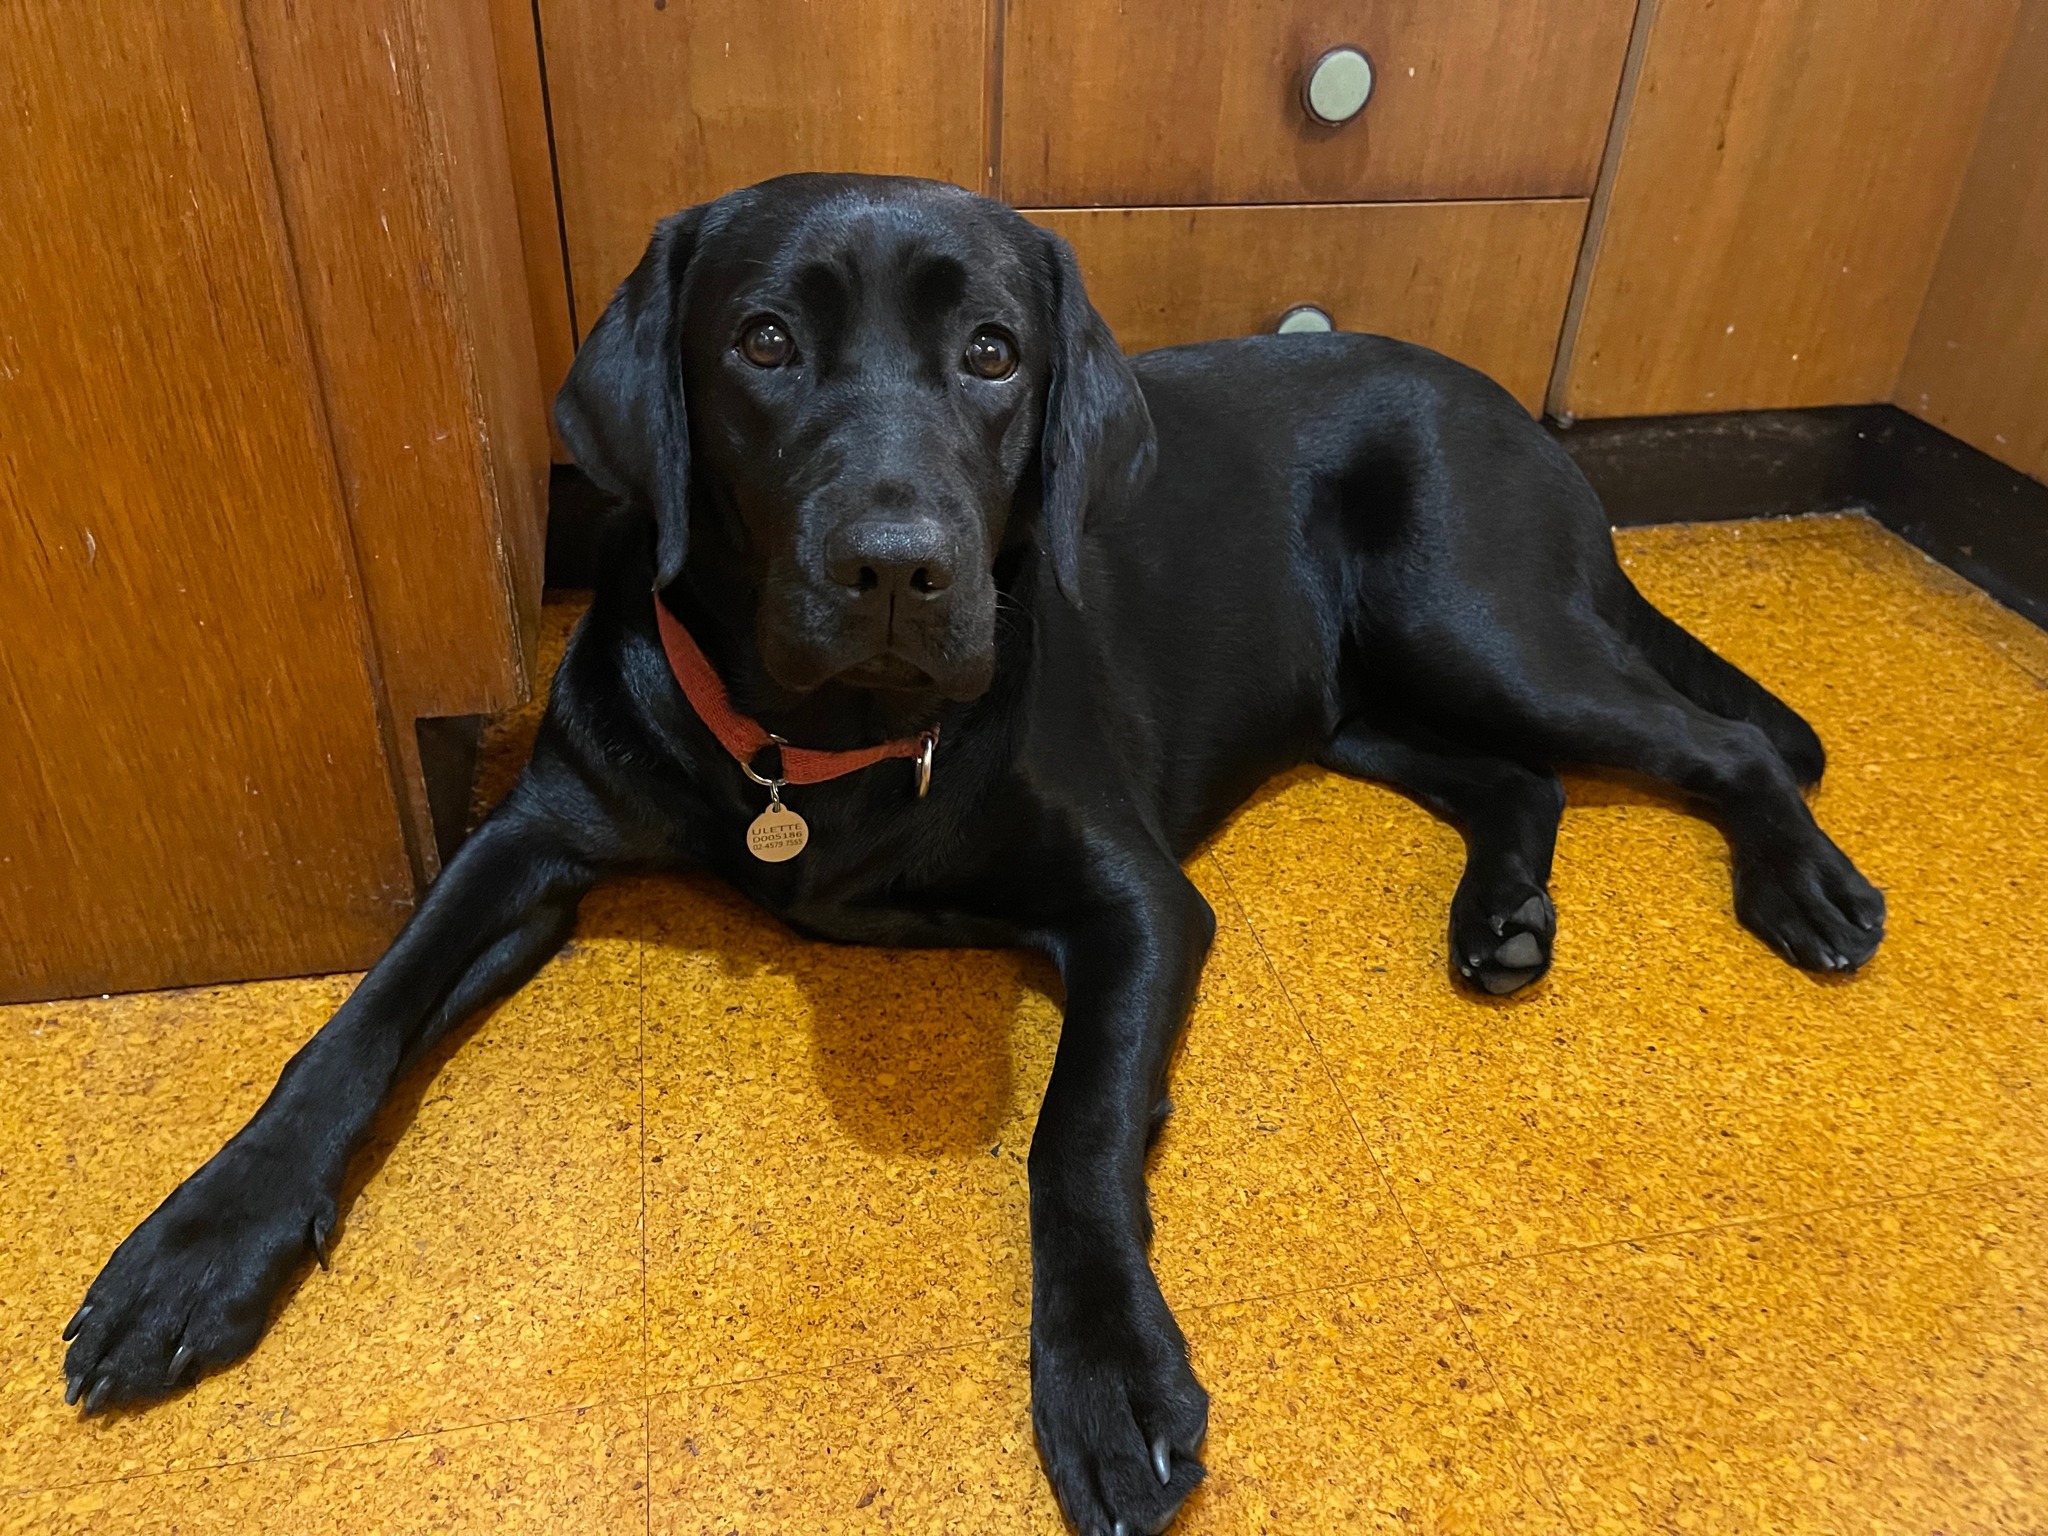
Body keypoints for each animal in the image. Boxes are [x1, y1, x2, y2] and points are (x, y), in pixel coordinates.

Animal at [68, 171, 1884, 1536]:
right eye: (765, 340)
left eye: (995, 354)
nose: (898, 565)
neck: (819, 748)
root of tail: (1511, 401)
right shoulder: (526, 843)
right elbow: (354, 1024)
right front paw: (203, 1242)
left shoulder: (1140, 901)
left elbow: (1073, 1139)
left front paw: (1109, 1377)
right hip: (1361, 696)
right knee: (1513, 780)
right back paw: (1502, 915)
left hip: (1475, 615)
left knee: (1718, 744)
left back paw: (1805, 889)